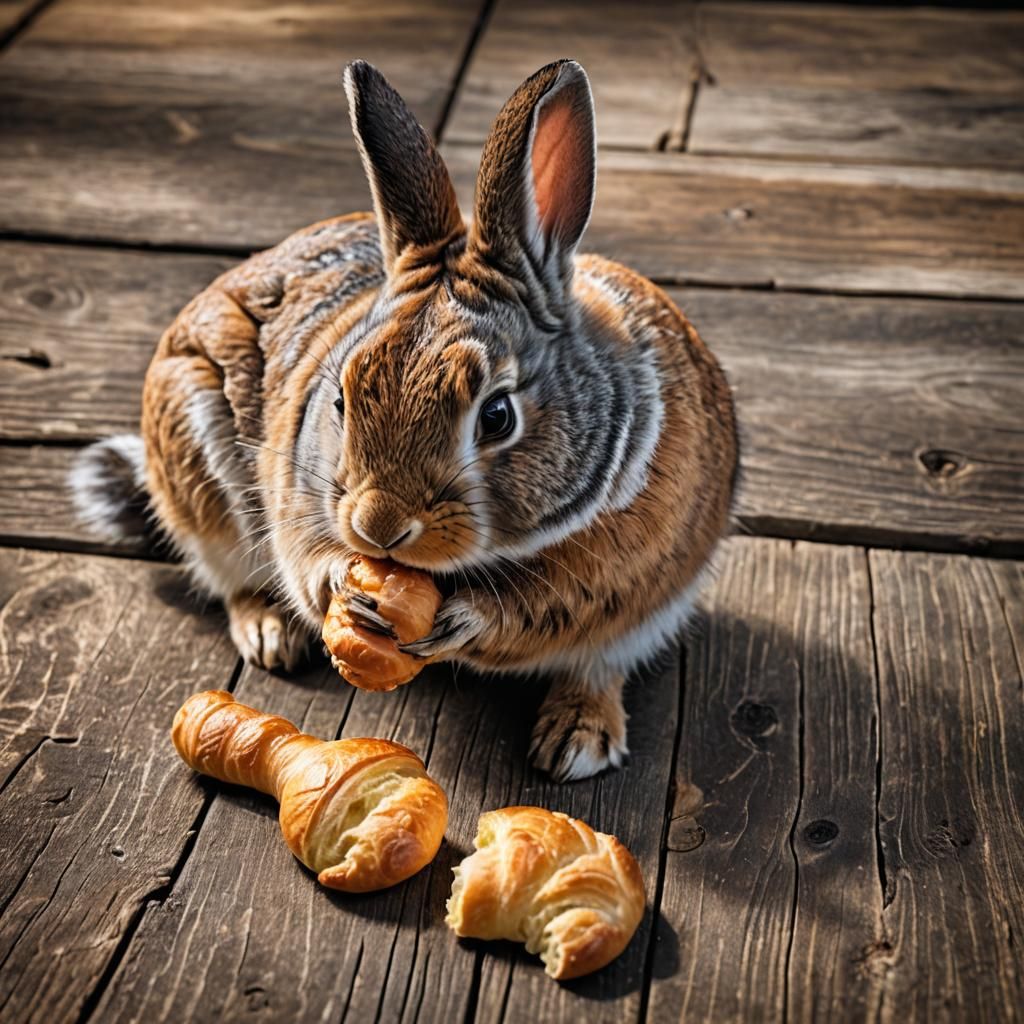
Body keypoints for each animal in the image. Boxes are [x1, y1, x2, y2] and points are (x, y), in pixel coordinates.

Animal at [70, 59, 738, 782]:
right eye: (341, 400)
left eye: (497, 416)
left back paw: (577, 743)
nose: (379, 528)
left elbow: (543, 610)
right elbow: (306, 561)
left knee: (600, 666)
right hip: (196, 453)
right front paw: (344, 585)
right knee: (231, 575)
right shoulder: (295, 497)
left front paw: (463, 625)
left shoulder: (614, 574)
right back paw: (271, 635)